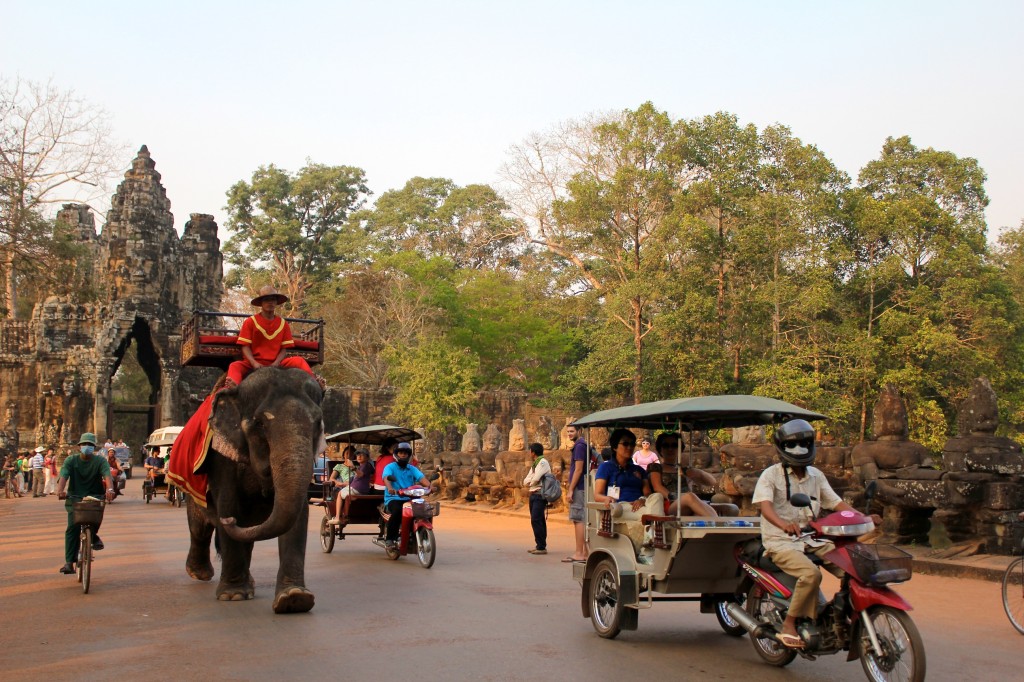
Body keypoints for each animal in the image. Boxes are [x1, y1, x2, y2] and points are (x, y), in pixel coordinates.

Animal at [184, 368, 323, 614]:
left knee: (245, 536)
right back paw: (200, 573)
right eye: (259, 424)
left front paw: (294, 598)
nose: (228, 522)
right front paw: (233, 596)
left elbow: (298, 515)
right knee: (199, 527)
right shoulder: (221, 457)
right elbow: (228, 504)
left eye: (317, 423)